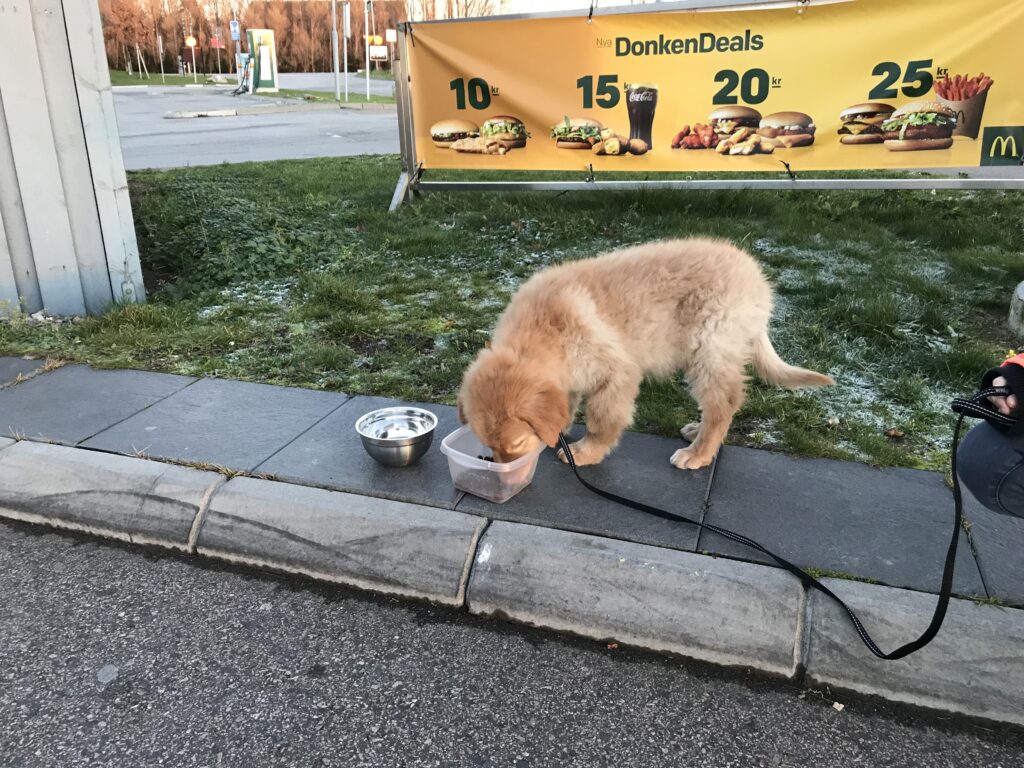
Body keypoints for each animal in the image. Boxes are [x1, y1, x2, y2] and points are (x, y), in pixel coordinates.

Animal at [456, 239, 831, 468]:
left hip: (710, 348)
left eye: (516, 445)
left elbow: (602, 419)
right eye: (489, 446)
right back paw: (697, 432)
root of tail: (758, 281)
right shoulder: (570, 375)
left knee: (723, 403)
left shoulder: (615, 371)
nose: (503, 473)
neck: (541, 332)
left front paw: (586, 452)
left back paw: (698, 453)